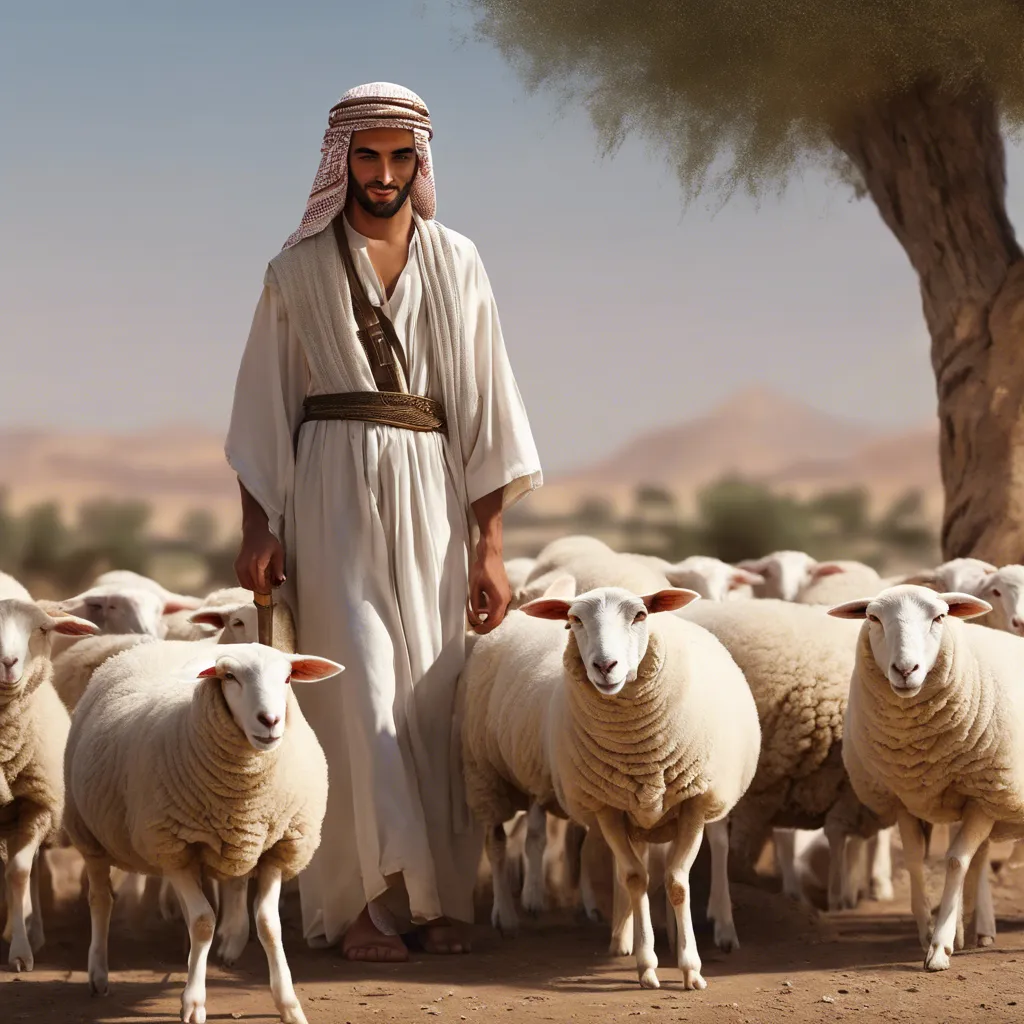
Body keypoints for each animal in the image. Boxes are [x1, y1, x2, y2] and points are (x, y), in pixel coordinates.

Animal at [0, 598, 98, 970]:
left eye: (41, 628)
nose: (8, 664)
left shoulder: (38, 805)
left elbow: (18, 871)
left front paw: (20, 952)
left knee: (32, 867)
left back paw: (31, 929)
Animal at [64, 638, 344, 1024]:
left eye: (288, 678)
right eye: (229, 677)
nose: (270, 721)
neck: (247, 793)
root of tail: (158, 643)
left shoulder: (279, 847)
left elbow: (268, 924)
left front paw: (288, 1004)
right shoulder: (173, 850)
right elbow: (202, 922)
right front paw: (194, 1003)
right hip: (88, 833)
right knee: (101, 900)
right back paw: (99, 973)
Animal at [520, 589, 761, 987]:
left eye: (640, 615)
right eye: (574, 620)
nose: (605, 666)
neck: (639, 752)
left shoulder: (694, 805)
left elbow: (678, 883)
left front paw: (691, 967)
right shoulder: (609, 808)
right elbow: (634, 878)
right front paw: (646, 962)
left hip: (714, 796)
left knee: (719, 846)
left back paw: (723, 928)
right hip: (636, 817)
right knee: (635, 869)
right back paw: (623, 936)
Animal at [827, 585, 1024, 966]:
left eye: (940, 617)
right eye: (873, 618)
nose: (905, 669)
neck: (917, 749)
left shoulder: (987, 795)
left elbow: (956, 861)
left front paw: (941, 945)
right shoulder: (903, 797)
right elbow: (916, 860)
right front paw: (927, 932)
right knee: (980, 860)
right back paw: (978, 927)